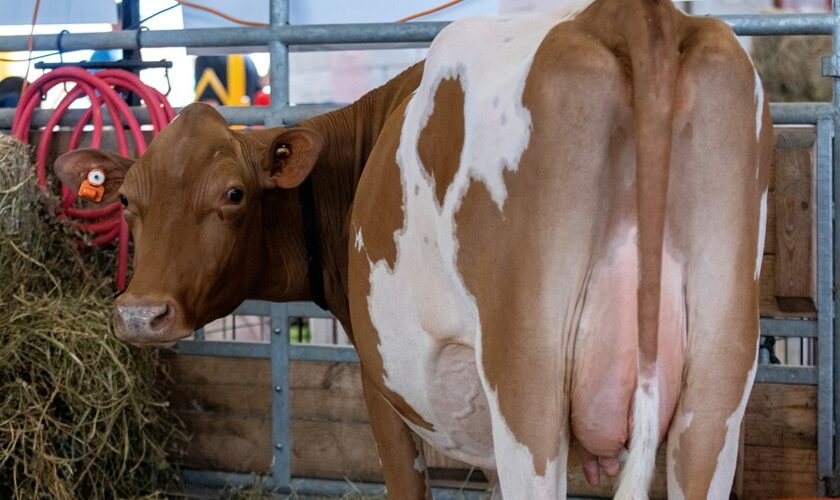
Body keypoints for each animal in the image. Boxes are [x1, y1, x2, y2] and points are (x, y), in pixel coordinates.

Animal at [54, 1, 776, 498]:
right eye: (127, 200)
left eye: (233, 193)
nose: (140, 314)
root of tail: (628, 16)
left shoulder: (383, 391)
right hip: (717, 385)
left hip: (529, 392)